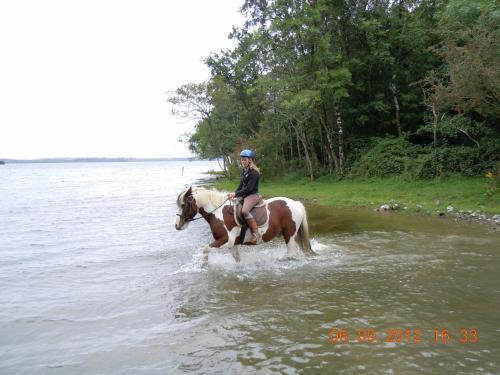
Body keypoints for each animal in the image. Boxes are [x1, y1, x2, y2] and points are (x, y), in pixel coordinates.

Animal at [176, 187, 316, 262]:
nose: (177, 226)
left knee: (290, 254)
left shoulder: (226, 241)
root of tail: (295, 203)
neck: (218, 213)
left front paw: (204, 266)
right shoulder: (233, 244)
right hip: (294, 235)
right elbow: (237, 258)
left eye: (183, 205)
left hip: (289, 235)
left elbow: (205, 250)